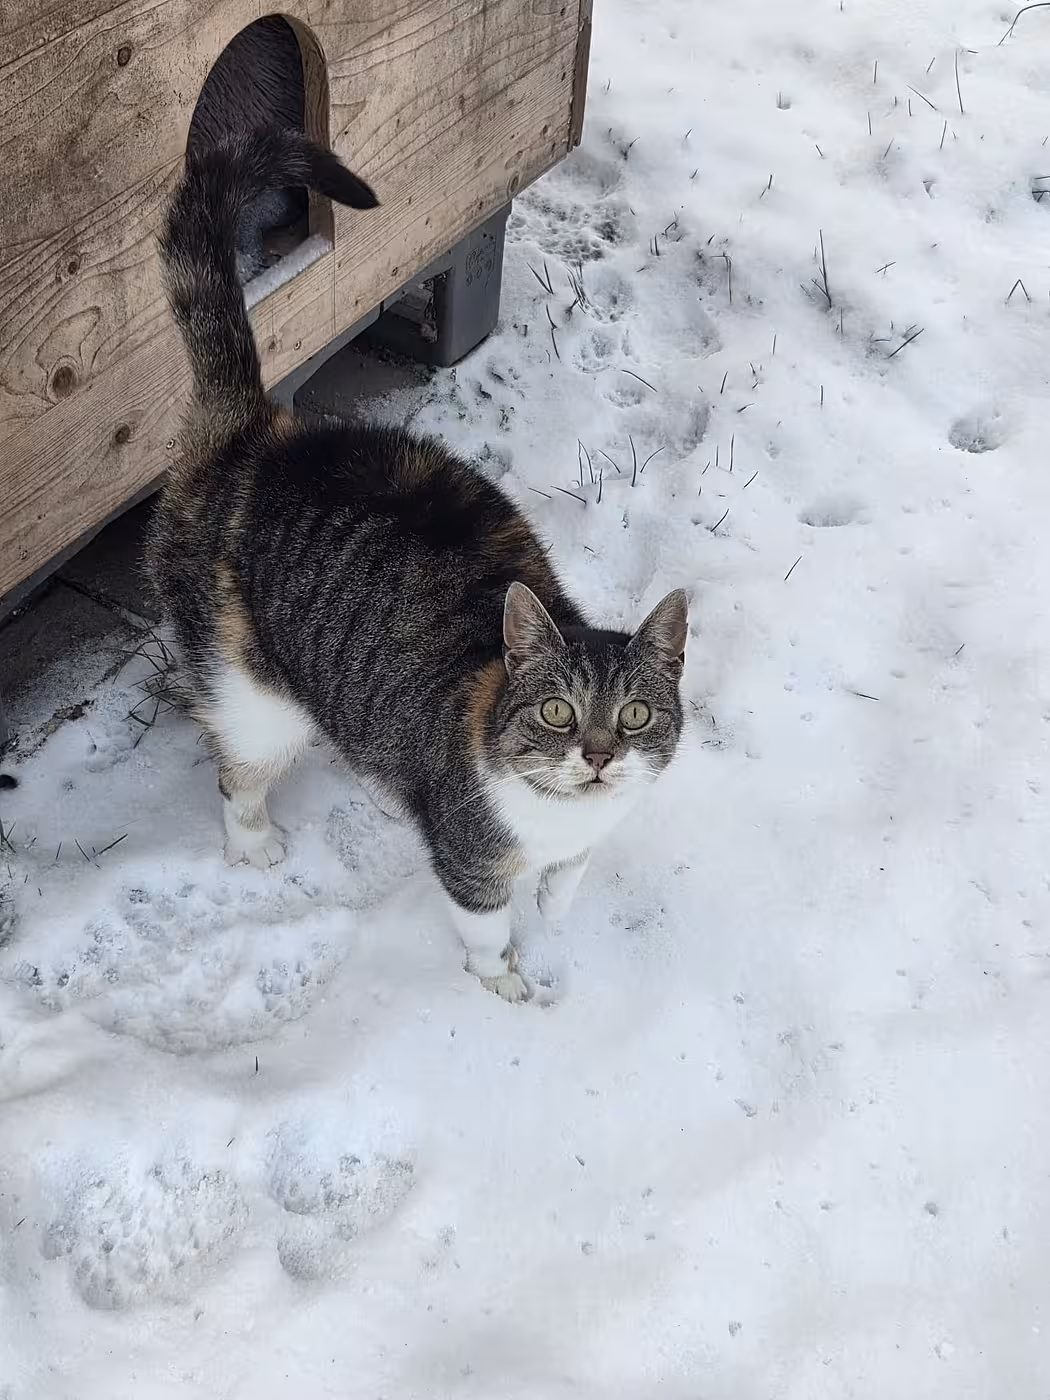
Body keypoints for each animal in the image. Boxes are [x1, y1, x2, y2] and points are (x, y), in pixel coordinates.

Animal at [151, 128, 689, 1000]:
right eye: (557, 712)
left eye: (636, 715)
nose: (601, 757)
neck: (558, 812)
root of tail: (257, 433)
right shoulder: (470, 860)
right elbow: (486, 925)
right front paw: (502, 979)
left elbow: (570, 873)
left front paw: (557, 902)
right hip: (252, 695)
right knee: (239, 770)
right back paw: (253, 840)